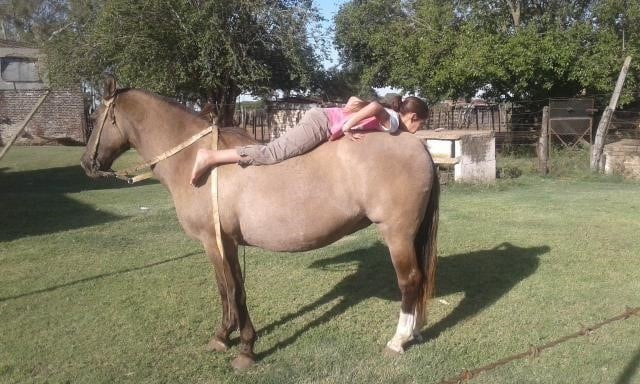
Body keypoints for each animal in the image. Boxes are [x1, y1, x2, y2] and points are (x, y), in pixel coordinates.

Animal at [81, 76, 440, 372]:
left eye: (96, 117)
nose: (87, 163)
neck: (193, 162)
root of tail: (417, 144)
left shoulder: (217, 242)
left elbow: (234, 290)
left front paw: (245, 349)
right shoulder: (218, 244)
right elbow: (224, 289)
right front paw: (222, 336)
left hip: (397, 233)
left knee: (410, 280)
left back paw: (398, 340)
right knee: (420, 280)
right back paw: (416, 333)